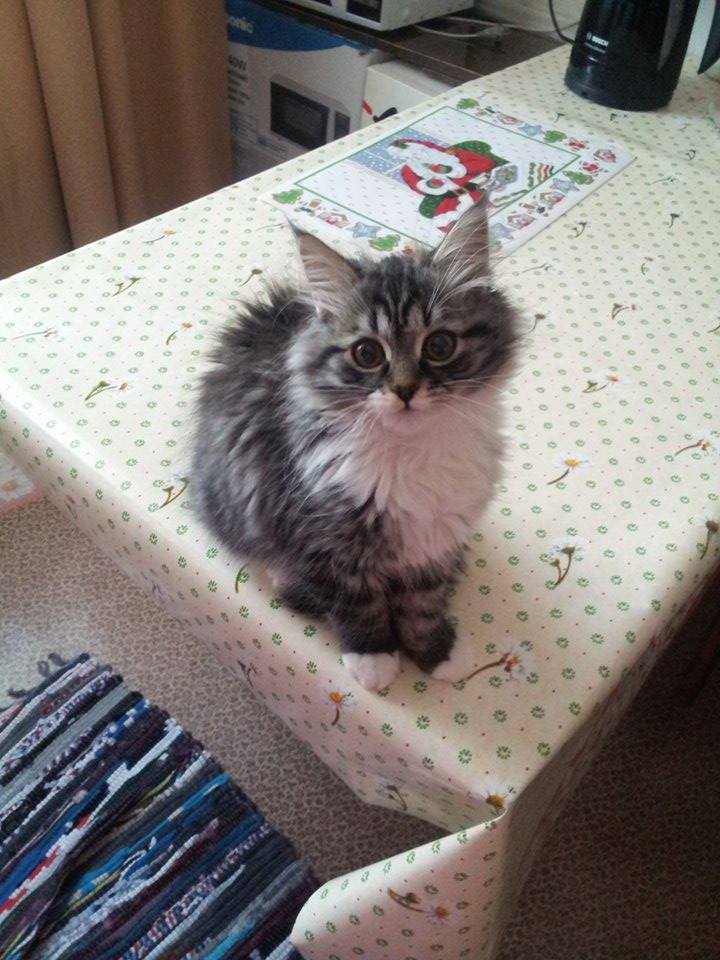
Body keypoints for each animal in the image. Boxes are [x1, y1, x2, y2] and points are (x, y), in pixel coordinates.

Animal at [192, 201, 518, 691]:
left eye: (439, 345)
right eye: (367, 354)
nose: (404, 390)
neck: (410, 453)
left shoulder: (435, 540)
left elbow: (423, 606)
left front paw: (437, 652)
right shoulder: (323, 534)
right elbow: (357, 604)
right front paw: (375, 657)